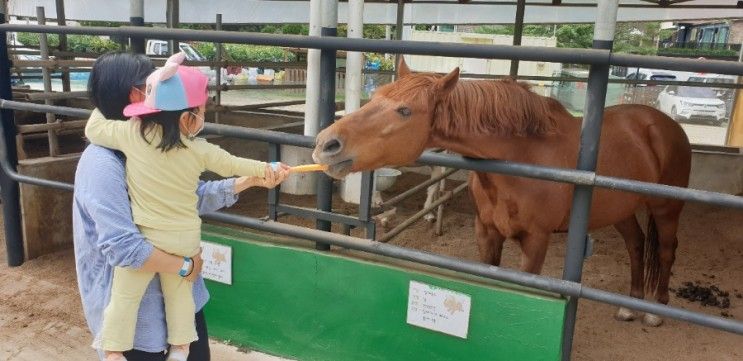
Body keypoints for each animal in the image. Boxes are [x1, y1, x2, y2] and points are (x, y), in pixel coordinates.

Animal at [310, 60, 696, 324]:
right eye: (375, 96)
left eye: (404, 110)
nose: (326, 144)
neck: (525, 158)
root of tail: (662, 124)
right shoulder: (487, 232)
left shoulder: (536, 241)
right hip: (622, 211)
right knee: (636, 245)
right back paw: (630, 305)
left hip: (667, 208)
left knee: (665, 251)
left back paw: (654, 309)